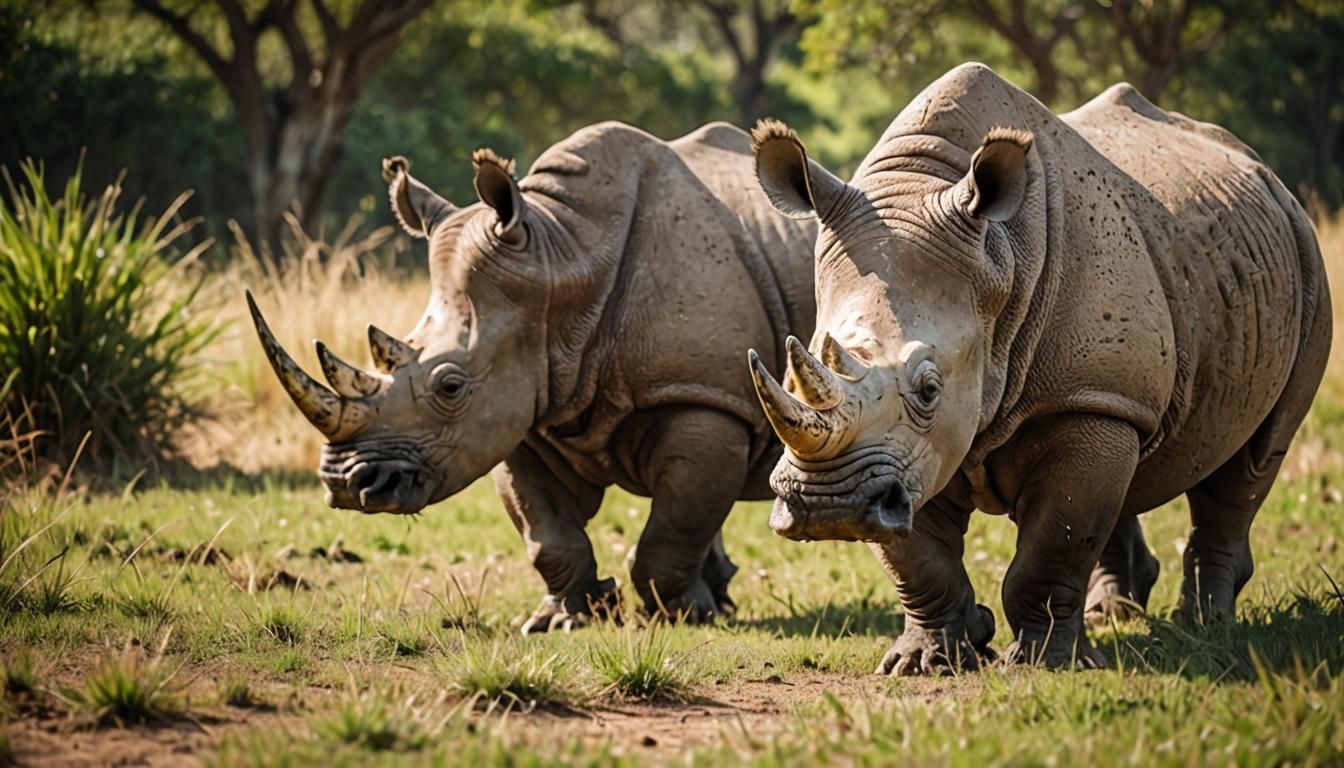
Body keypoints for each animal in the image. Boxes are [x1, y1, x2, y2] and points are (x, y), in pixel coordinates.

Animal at [248, 121, 817, 630]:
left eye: (449, 386)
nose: (344, 483)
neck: (561, 259)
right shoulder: (523, 405)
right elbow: (547, 534)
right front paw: (562, 620)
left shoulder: (703, 396)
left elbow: (674, 527)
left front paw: (682, 616)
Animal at [747, 63, 1330, 673]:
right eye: (791, 373)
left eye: (929, 388)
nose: (826, 504)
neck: (998, 258)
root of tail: (1267, 173)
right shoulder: (902, 464)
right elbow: (919, 557)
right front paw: (926, 660)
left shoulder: (1068, 399)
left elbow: (1056, 540)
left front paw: (1042, 663)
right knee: (1125, 467)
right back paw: (1112, 615)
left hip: (1303, 255)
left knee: (1254, 459)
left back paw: (1205, 626)